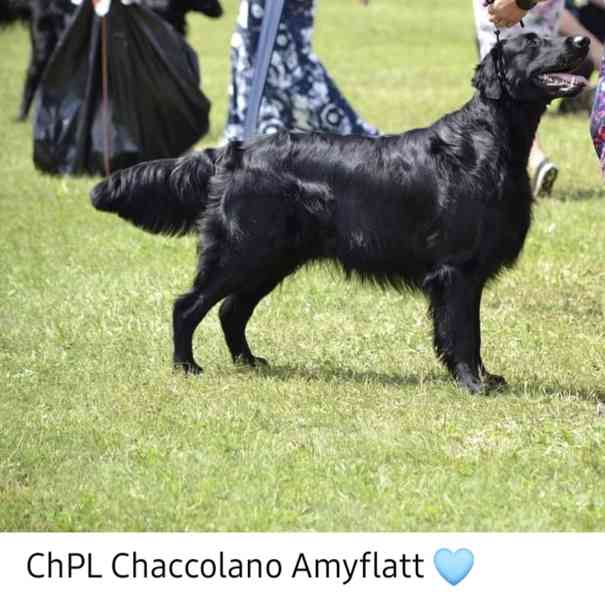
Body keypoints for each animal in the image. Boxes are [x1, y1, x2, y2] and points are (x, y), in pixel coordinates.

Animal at [92, 35, 588, 396]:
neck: (487, 141)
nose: (582, 41)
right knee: (188, 306)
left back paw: (249, 362)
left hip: (270, 259)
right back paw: (186, 366)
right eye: (532, 42)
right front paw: (471, 383)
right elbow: (463, 333)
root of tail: (233, 151)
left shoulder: (470, 273)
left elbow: (472, 332)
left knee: (231, 310)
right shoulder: (456, 270)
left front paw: (485, 377)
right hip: (241, 252)